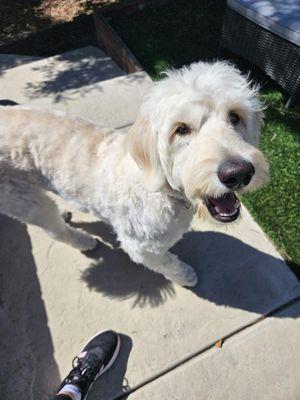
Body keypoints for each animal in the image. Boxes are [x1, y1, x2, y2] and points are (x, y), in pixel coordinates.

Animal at [0, 61, 268, 288]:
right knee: (53, 228)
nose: (239, 174)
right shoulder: (141, 247)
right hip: (24, 201)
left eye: (234, 117)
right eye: (181, 129)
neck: (162, 193)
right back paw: (83, 241)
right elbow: (167, 262)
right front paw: (186, 276)